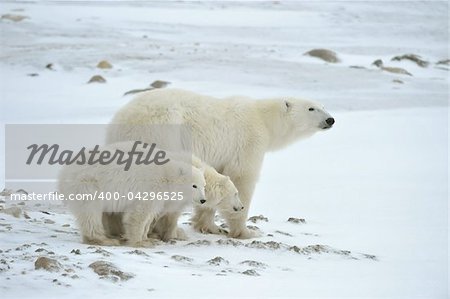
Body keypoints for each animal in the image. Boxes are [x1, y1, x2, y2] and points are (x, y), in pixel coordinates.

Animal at [58, 143, 207, 248]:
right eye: (194, 185)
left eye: (204, 185)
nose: (203, 200)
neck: (166, 176)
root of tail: (65, 172)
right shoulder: (151, 188)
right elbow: (138, 214)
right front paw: (140, 242)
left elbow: (149, 217)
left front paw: (148, 238)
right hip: (89, 184)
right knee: (90, 212)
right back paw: (104, 240)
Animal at [106, 88, 334, 239]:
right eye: (311, 108)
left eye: (323, 106)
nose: (331, 120)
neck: (263, 119)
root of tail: (123, 120)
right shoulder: (248, 141)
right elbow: (242, 178)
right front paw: (246, 230)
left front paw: (209, 226)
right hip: (163, 130)